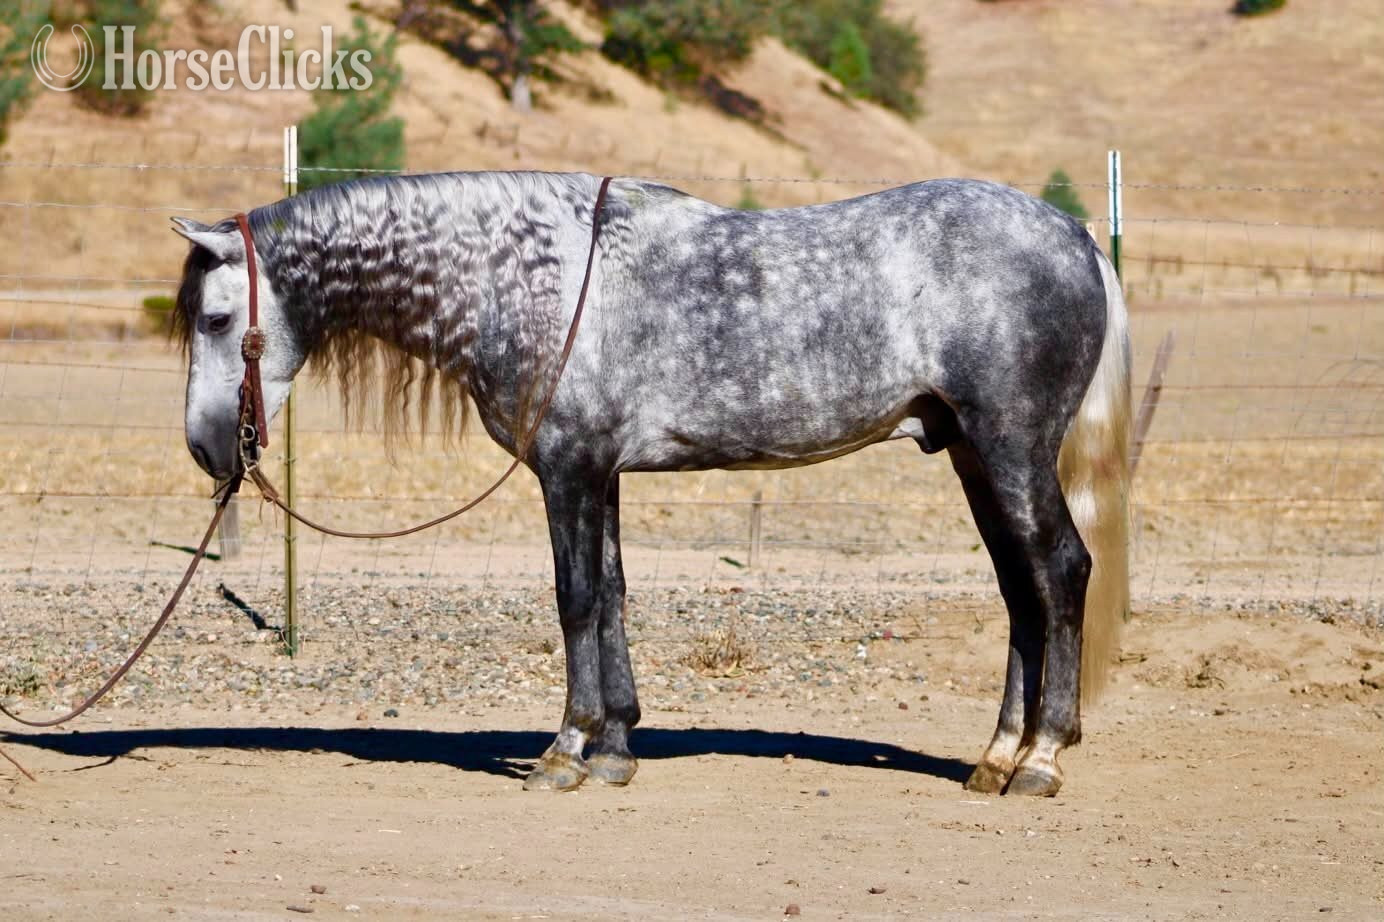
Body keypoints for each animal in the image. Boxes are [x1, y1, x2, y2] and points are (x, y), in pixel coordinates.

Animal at [171, 171, 1130, 797]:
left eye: (217, 319)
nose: (207, 447)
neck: (533, 273)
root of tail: (1076, 235)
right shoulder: (602, 474)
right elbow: (615, 596)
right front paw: (616, 747)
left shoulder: (568, 470)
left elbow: (575, 601)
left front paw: (565, 751)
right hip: (974, 457)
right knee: (1021, 590)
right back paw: (996, 757)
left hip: (1010, 450)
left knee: (1061, 572)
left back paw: (1041, 759)